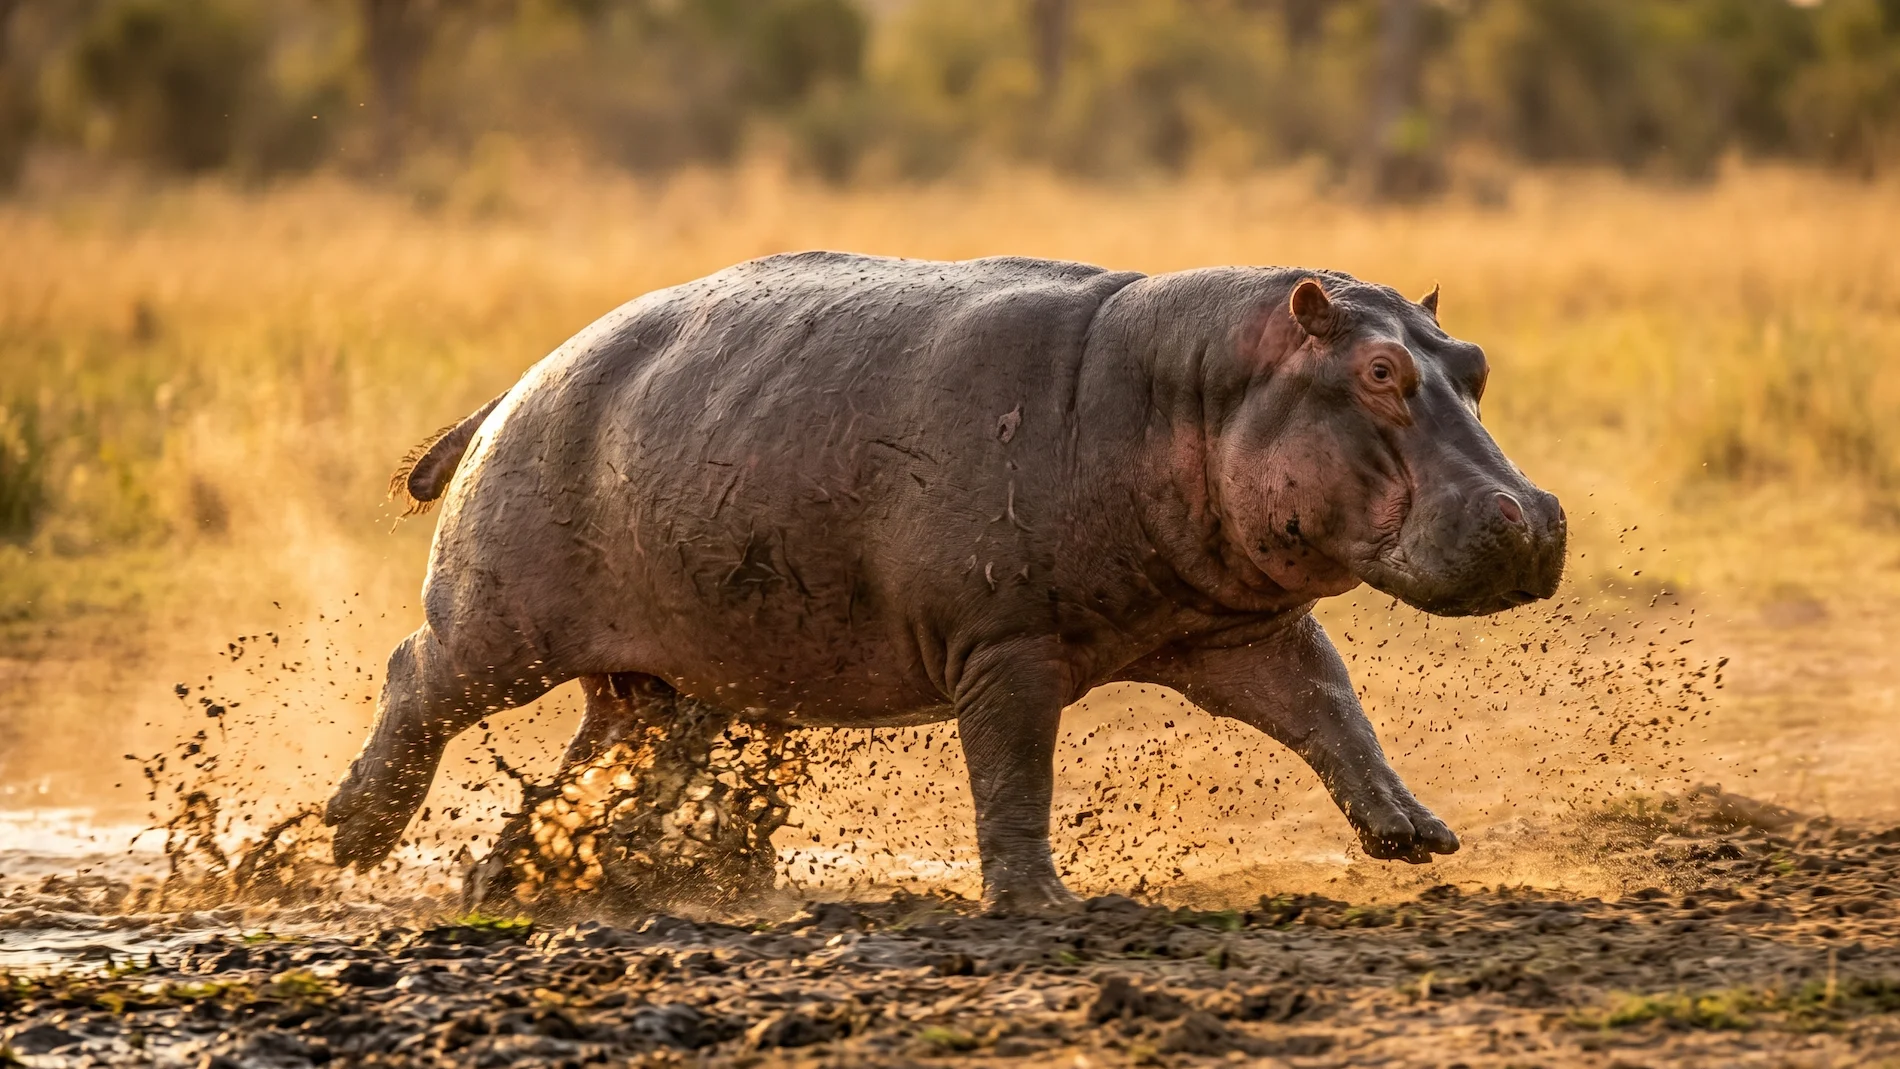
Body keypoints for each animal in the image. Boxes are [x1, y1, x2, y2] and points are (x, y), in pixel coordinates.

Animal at [324, 252, 1565, 910]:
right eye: (1380, 370)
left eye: (1473, 364)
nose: (1535, 520)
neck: (1192, 388)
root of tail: (511, 390)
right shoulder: (1006, 646)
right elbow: (1015, 771)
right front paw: (1039, 903)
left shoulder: (1237, 628)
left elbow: (1330, 710)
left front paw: (1417, 836)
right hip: (502, 622)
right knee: (416, 675)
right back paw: (351, 839)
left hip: (665, 677)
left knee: (598, 762)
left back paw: (514, 882)